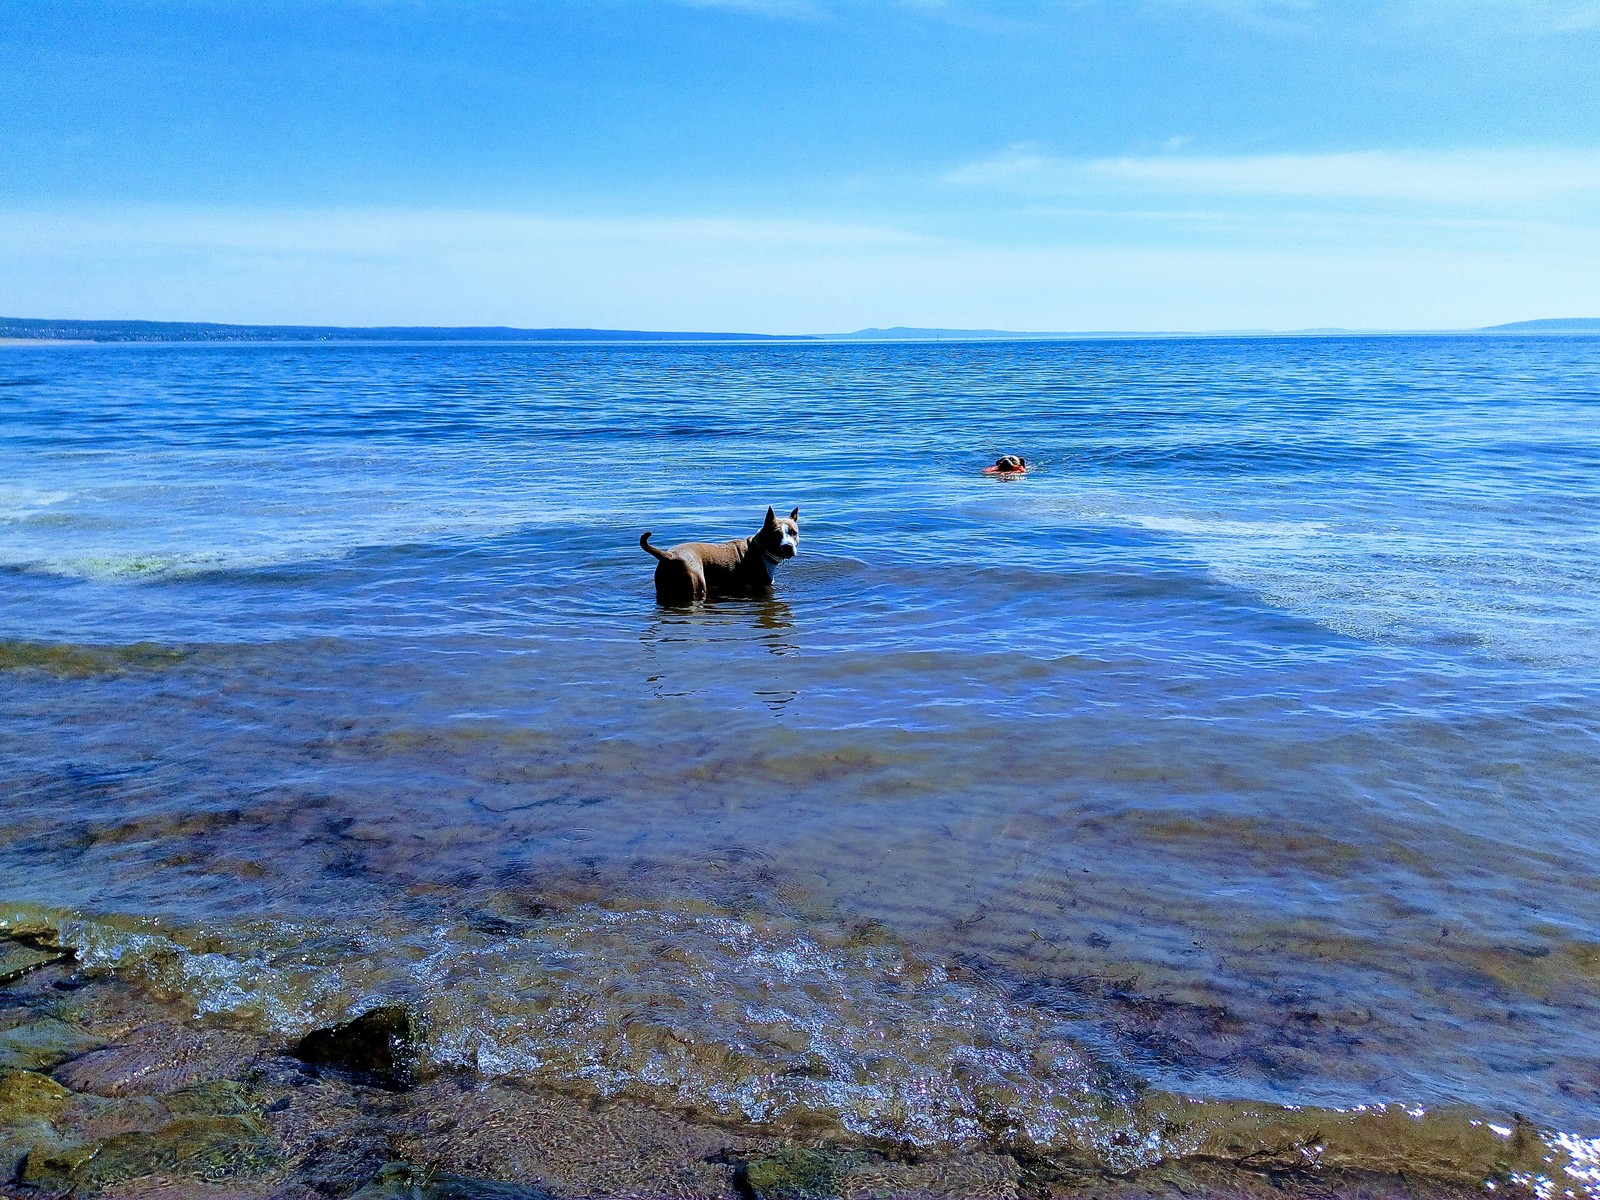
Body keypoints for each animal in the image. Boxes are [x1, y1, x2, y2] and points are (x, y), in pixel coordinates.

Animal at [630, 508, 793, 604]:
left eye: (794, 533)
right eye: (776, 534)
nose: (788, 546)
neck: (760, 547)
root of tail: (669, 556)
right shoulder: (762, 586)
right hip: (696, 583)